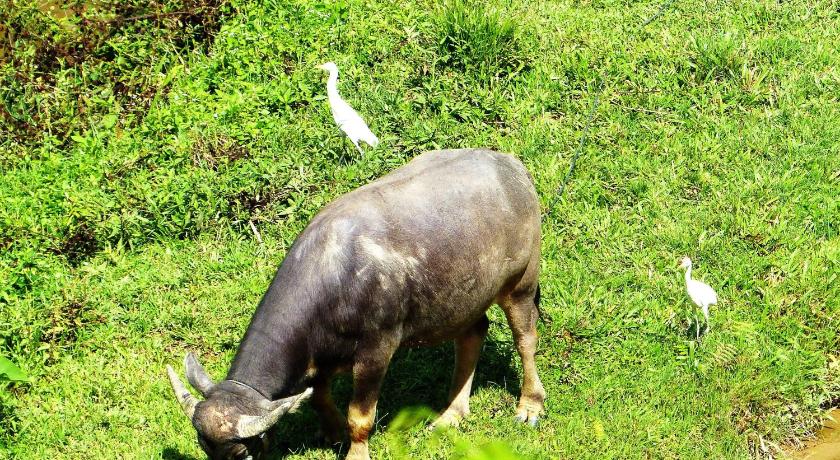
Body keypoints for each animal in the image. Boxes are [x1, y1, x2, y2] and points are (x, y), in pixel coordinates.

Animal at [166, 149, 544, 458]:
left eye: (242, 453)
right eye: (205, 448)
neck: (335, 278)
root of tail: (513, 167)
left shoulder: (376, 352)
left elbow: (360, 417)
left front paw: (354, 451)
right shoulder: (318, 357)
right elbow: (318, 396)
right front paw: (332, 433)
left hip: (522, 282)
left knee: (525, 338)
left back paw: (530, 405)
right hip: (463, 299)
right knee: (473, 333)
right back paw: (451, 413)